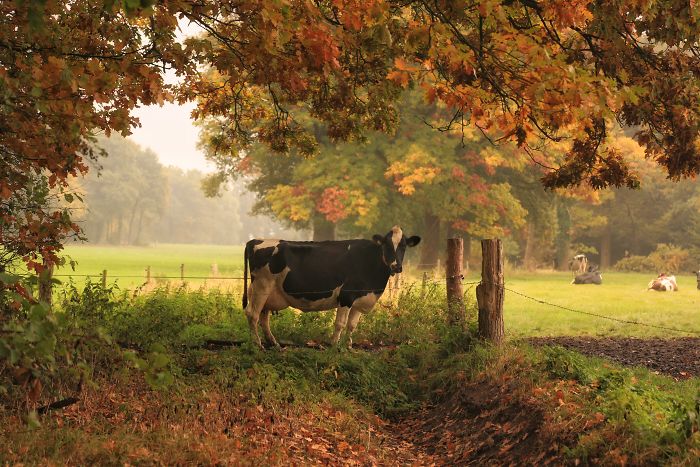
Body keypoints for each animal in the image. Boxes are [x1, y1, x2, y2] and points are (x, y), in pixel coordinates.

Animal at [242, 226, 421, 349]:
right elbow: (340, 323)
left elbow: (352, 325)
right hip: (261, 286)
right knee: (253, 314)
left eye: (403, 246)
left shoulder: (360, 299)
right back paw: (257, 344)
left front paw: (348, 346)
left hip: (267, 291)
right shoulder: (346, 296)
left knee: (264, 317)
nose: (396, 266)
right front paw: (334, 346)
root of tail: (255, 241)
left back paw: (273, 342)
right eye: (387, 245)